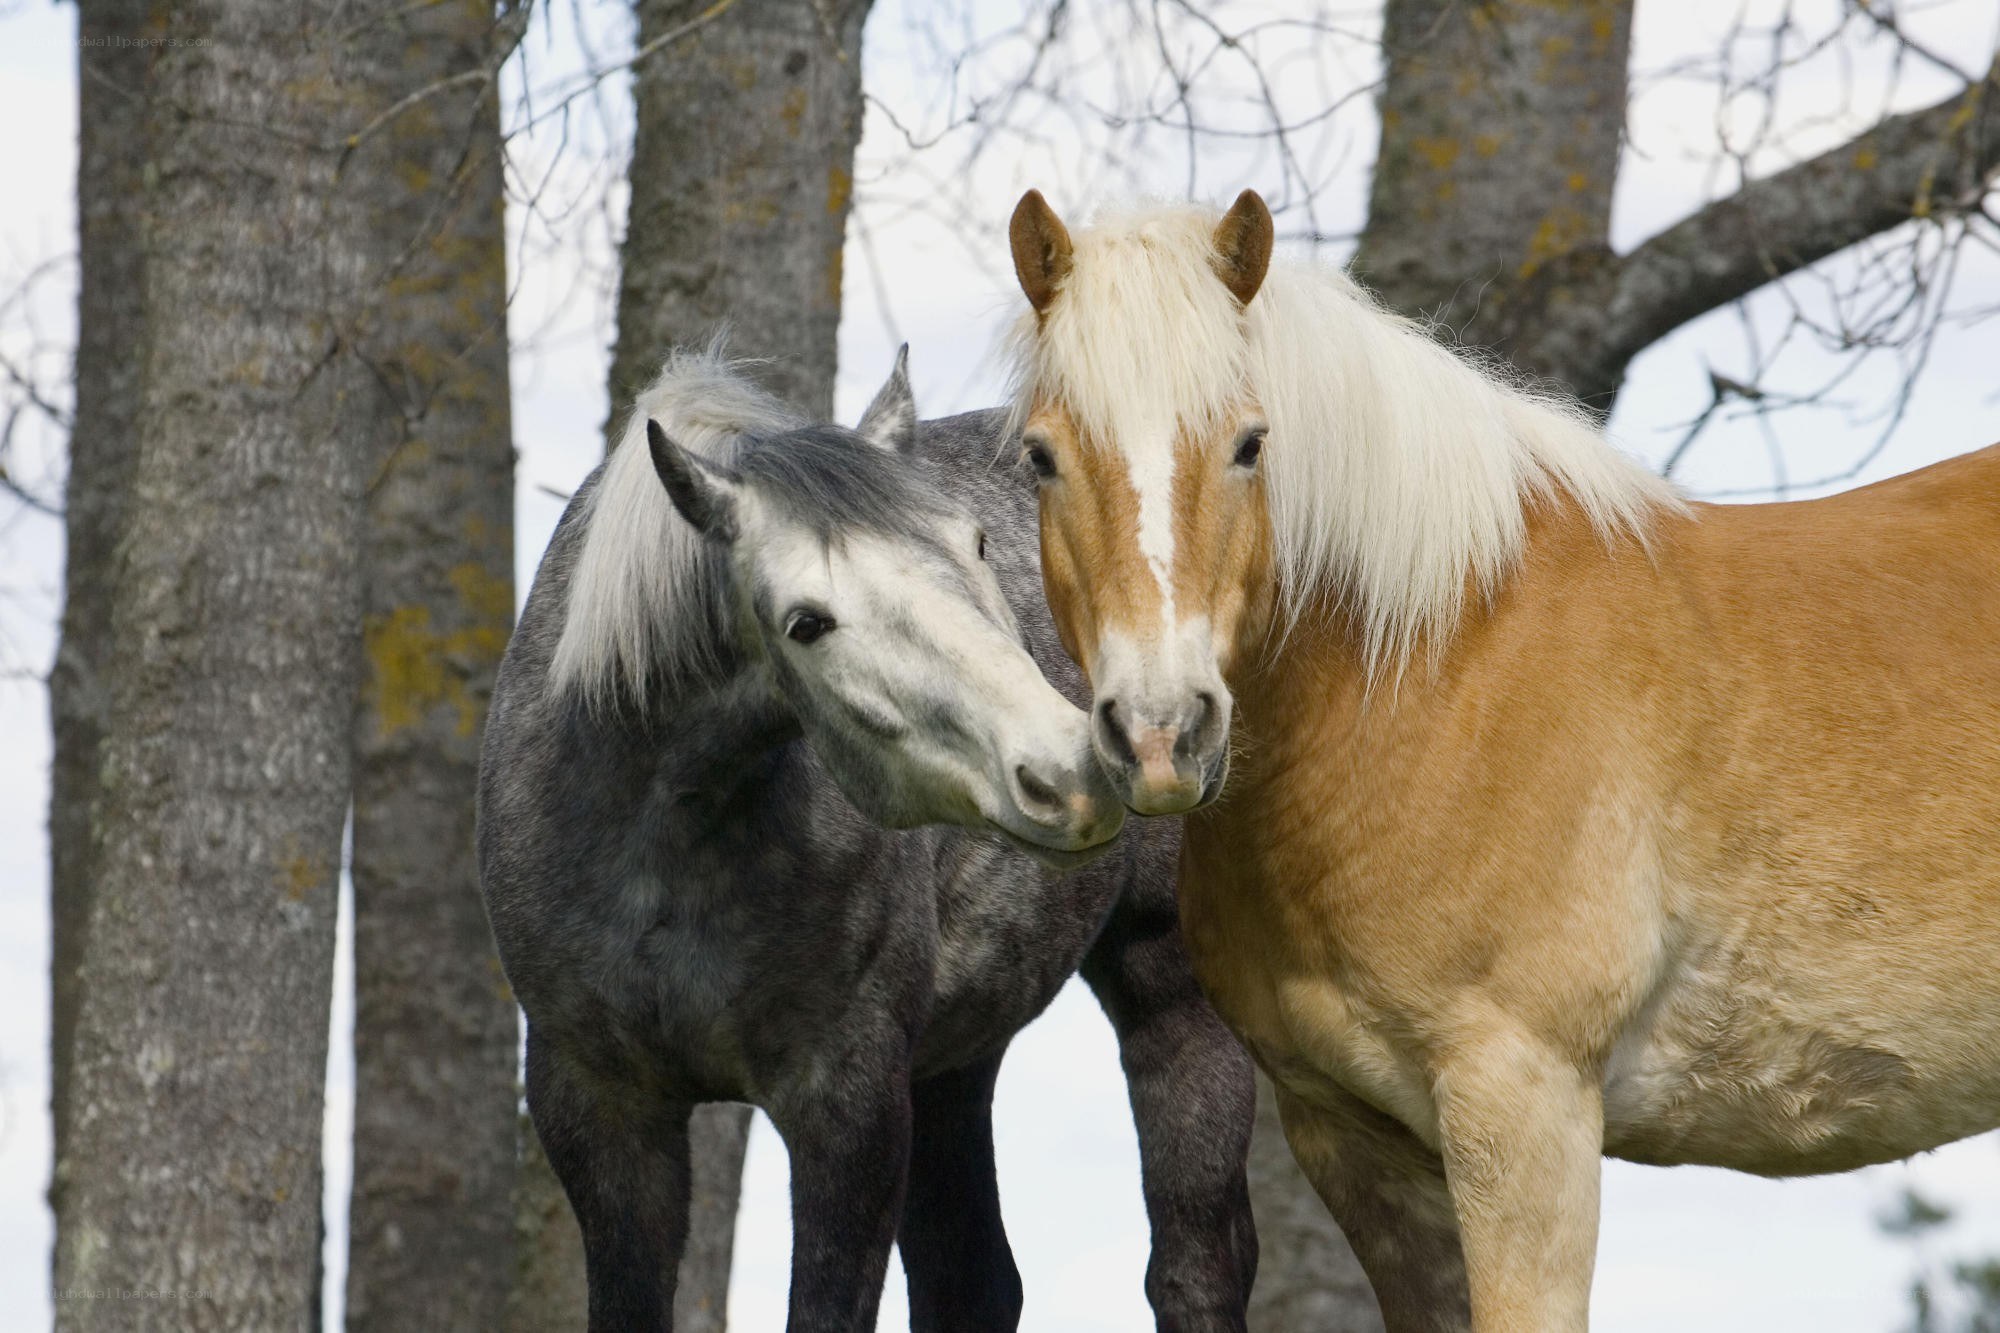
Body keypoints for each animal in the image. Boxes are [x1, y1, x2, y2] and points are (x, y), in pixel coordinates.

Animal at [476, 346, 1258, 1332]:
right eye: (806, 622)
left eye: (977, 545)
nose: (1073, 772)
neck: (663, 841)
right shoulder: (600, 1110)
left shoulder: (847, 1104)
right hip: (955, 1057)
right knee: (974, 1277)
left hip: (1171, 996)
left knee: (1194, 1268)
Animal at [1000, 188, 2000, 1332]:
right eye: (1040, 457)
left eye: (1250, 443)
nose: (1162, 730)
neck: (1436, 669)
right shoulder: (1355, 1142)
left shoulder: (1521, 1106)